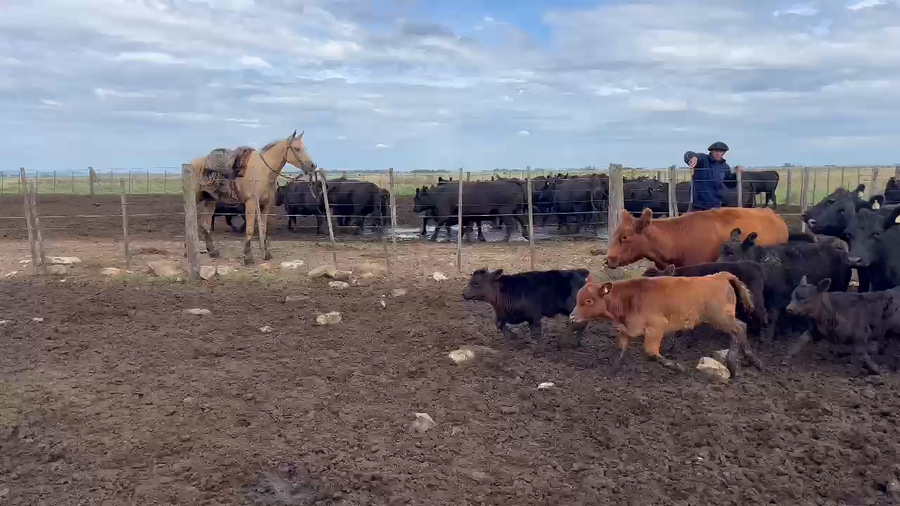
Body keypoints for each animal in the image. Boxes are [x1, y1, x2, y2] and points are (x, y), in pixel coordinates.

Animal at [462, 268, 591, 353]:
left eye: (477, 283)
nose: (463, 294)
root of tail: (582, 278)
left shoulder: (535, 315)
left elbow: (536, 331)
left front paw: (540, 350)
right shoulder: (504, 315)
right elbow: (499, 324)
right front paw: (513, 336)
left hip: (573, 308)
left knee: (578, 323)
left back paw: (562, 342)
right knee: (582, 324)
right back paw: (576, 342)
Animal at [569, 274, 763, 378]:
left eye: (589, 300)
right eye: (578, 298)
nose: (572, 317)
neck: (629, 299)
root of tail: (720, 275)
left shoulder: (656, 328)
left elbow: (651, 352)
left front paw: (677, 367)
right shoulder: (624, 332)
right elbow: (621, 351)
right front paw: (612, 370)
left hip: (720, 318)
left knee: (740, 328)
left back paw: (746, 362)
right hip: (722, 319)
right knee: (738, 330)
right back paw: (741, 362)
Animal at [718, 228, 852, 342]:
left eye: (731, 253)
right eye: (721, 250)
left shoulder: (775, 295)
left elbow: (771, 315)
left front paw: (766, 339)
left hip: (841, 286)